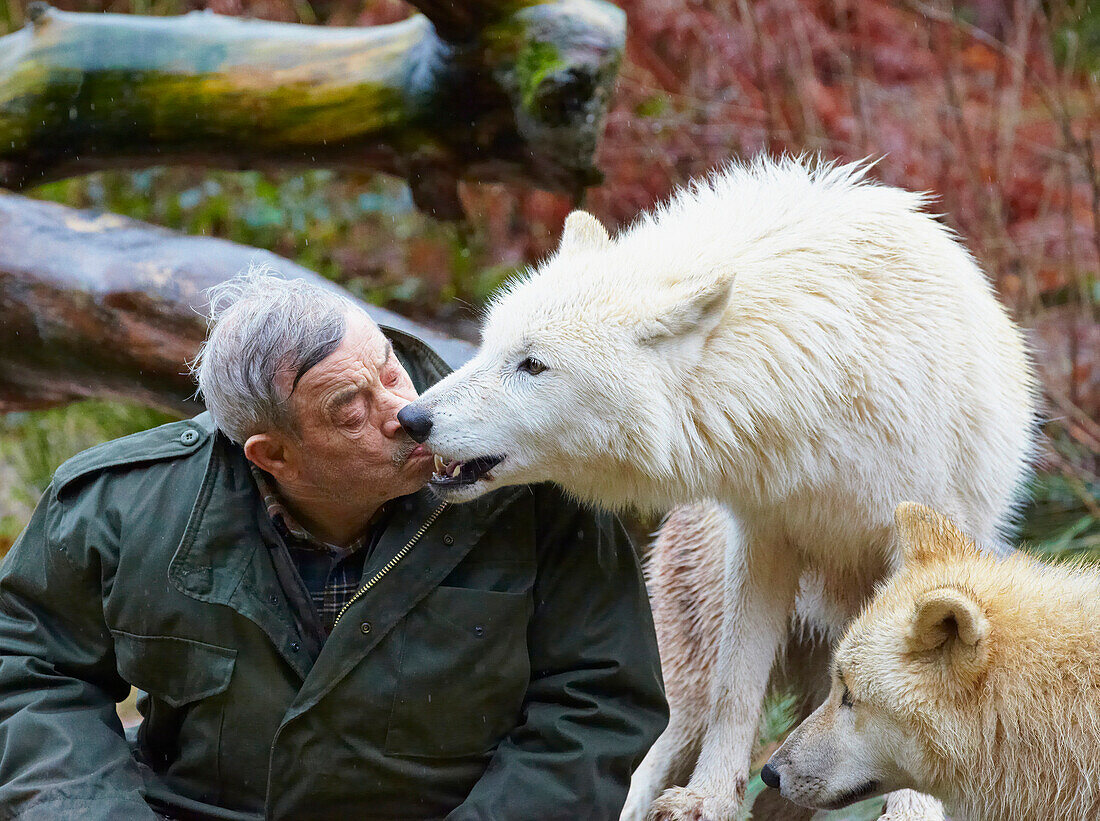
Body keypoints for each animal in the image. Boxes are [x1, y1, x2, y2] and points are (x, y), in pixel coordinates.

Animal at [400, 158, 1034, 818]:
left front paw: (913, 809)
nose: (411, 418)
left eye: (532, 365)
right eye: (487, 347)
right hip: (686, 665)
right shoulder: (763, 534)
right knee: (650, 747)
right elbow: (736, 690)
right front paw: (706, 798)